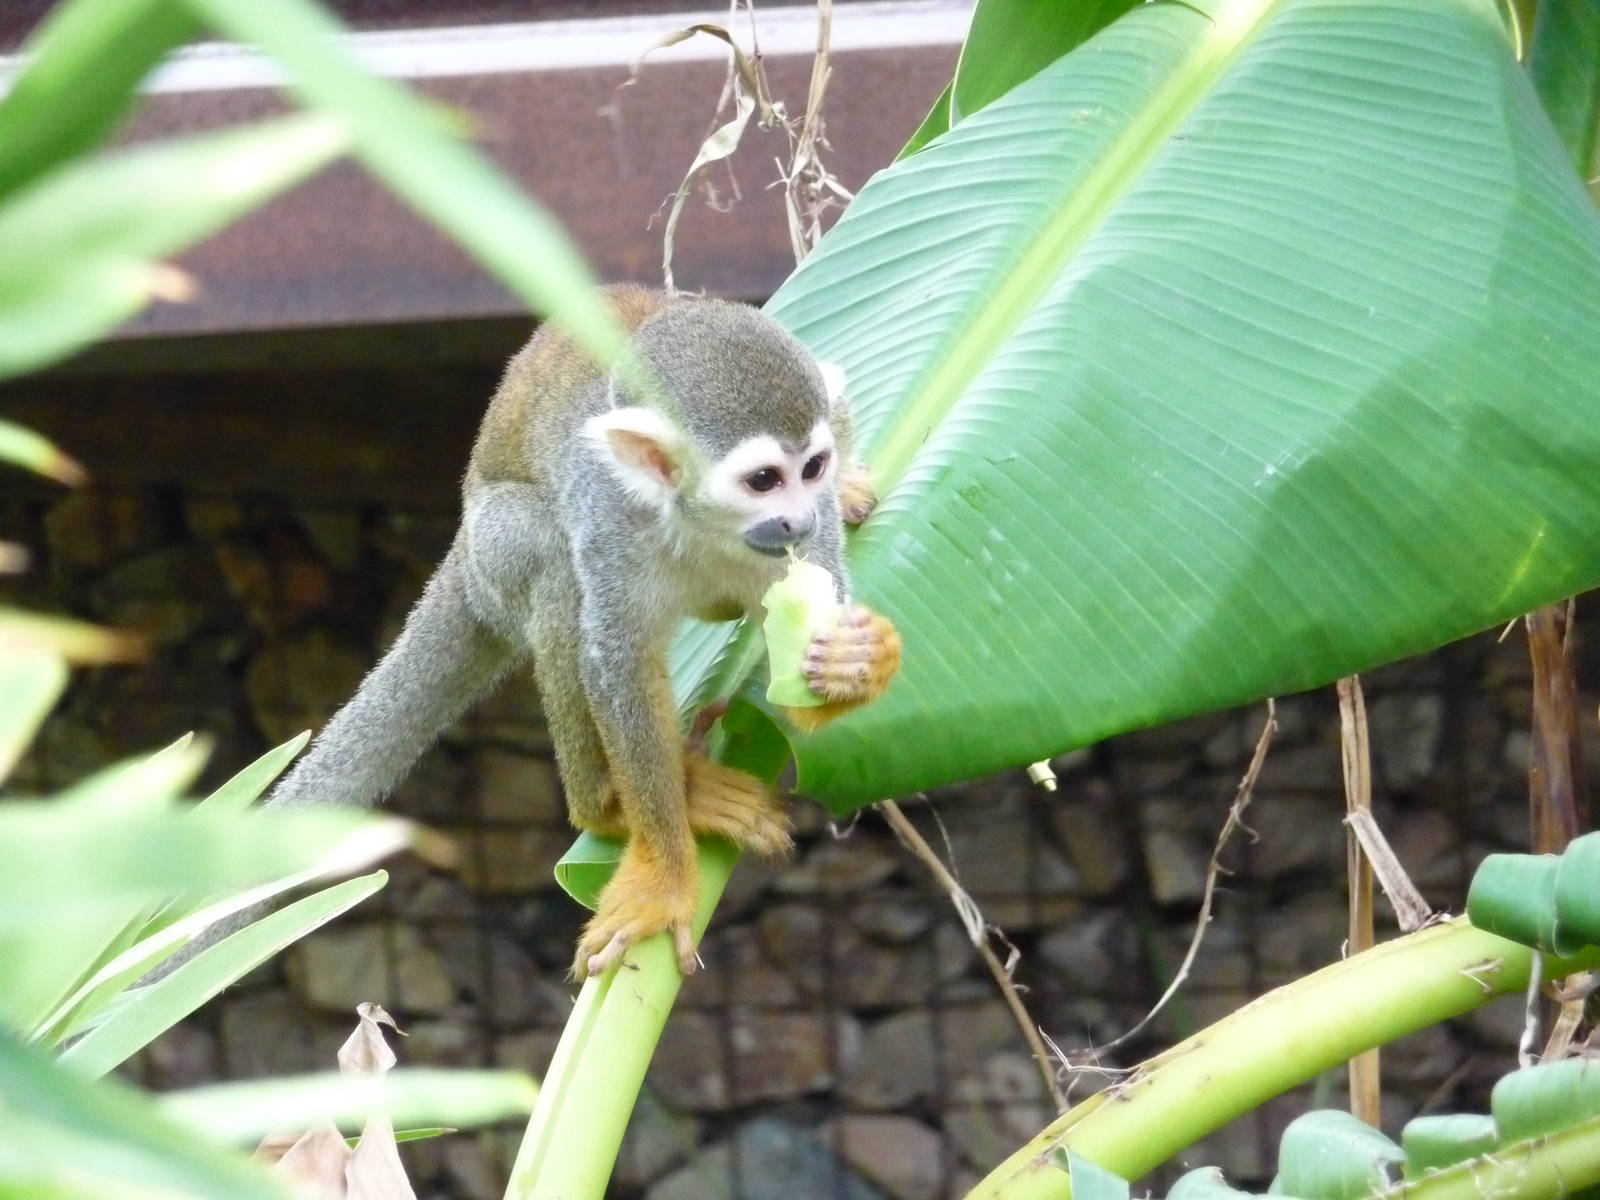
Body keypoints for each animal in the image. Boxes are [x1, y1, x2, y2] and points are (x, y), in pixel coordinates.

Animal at [263, 285, 901, 979]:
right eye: (763, 481)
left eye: (811, 468)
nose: (798, 518)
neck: (703, 524)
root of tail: (464, 555)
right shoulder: (609, 513)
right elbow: (617, 666)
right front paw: (661, 875)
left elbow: (801, 697)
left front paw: (856, 662)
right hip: (497, 554)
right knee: (550, 557)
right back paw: (610, 805)